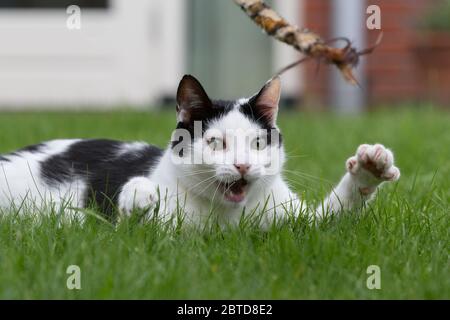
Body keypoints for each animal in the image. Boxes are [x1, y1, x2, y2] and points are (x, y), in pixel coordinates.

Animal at [0, 75, 400, 225]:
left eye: (258, 143)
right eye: (215, 142)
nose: (242, 166)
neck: (229, 218)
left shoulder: (302, 226)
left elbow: (336, 214)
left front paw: (368, 169)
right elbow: (131, 226)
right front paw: (138, 194)